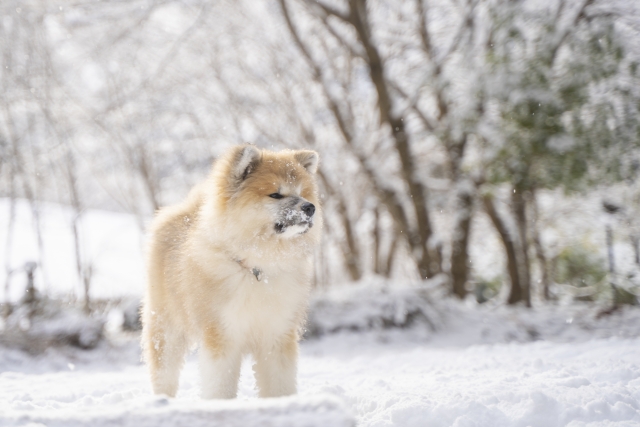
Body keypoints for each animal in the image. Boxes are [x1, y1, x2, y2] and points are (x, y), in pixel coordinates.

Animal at [140, 145, 320, 400]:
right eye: (276, 195)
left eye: (303, 193)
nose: (309, 207)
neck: (257, 269)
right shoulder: (222, 335)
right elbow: (220, 385)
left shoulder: (276, 335)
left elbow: (279, 384)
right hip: (167, 328)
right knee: (164, 372)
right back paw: (163, 401)